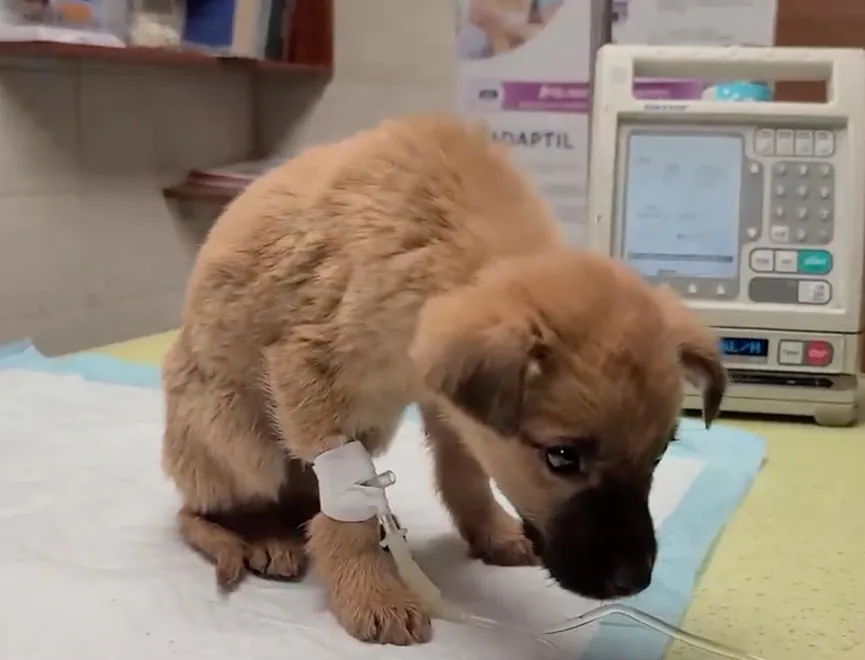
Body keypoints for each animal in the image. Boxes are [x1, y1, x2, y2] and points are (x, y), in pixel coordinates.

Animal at [160, 113, 724, 644]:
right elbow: (348, 509)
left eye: (659, 455)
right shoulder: (310, 376)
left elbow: (464, 470)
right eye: (562, 457)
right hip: (240, 440)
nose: (635, 580)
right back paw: (262, 536)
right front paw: (371, 592)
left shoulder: (444, 398)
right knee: (201, 510)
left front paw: (490, 532)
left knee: (298, 503)